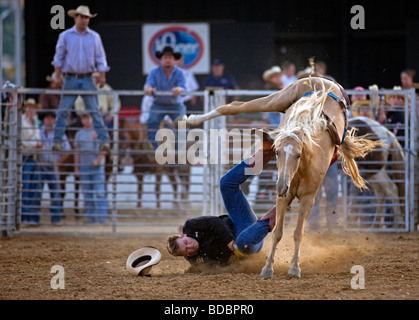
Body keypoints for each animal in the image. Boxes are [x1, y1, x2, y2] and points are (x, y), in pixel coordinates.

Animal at [184, 77, 384, 278]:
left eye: (298, 155)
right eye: (277, 152)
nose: (281, 186)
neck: (300, 169)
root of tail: (325, 80)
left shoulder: (308, 198)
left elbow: (297, 233)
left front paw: (294, 267)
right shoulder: (283, 196)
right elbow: (278, 232)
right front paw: (267, 268)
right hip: (281, 98)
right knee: (234, 106)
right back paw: (193, 120)